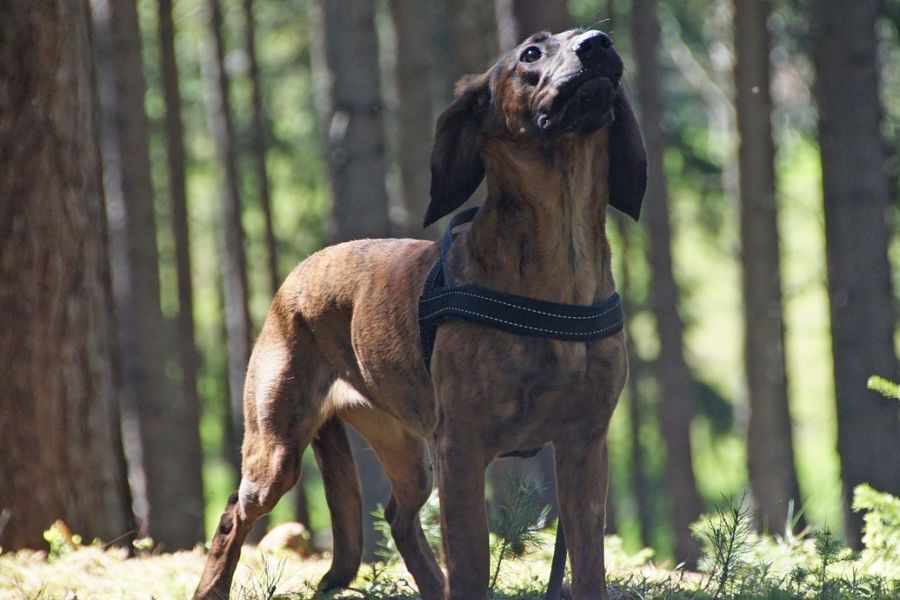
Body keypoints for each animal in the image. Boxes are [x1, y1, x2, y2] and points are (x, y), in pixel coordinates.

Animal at [195, 29, 648, 600]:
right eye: (531, 53)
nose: (598, 44)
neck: (560, 262)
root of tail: (294, 278)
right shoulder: (462, 452)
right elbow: (472, 566)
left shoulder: (584, 448)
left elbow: (588, 566)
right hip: (276, 451)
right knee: (234, 514)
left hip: (407, 452)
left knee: (399, 516)